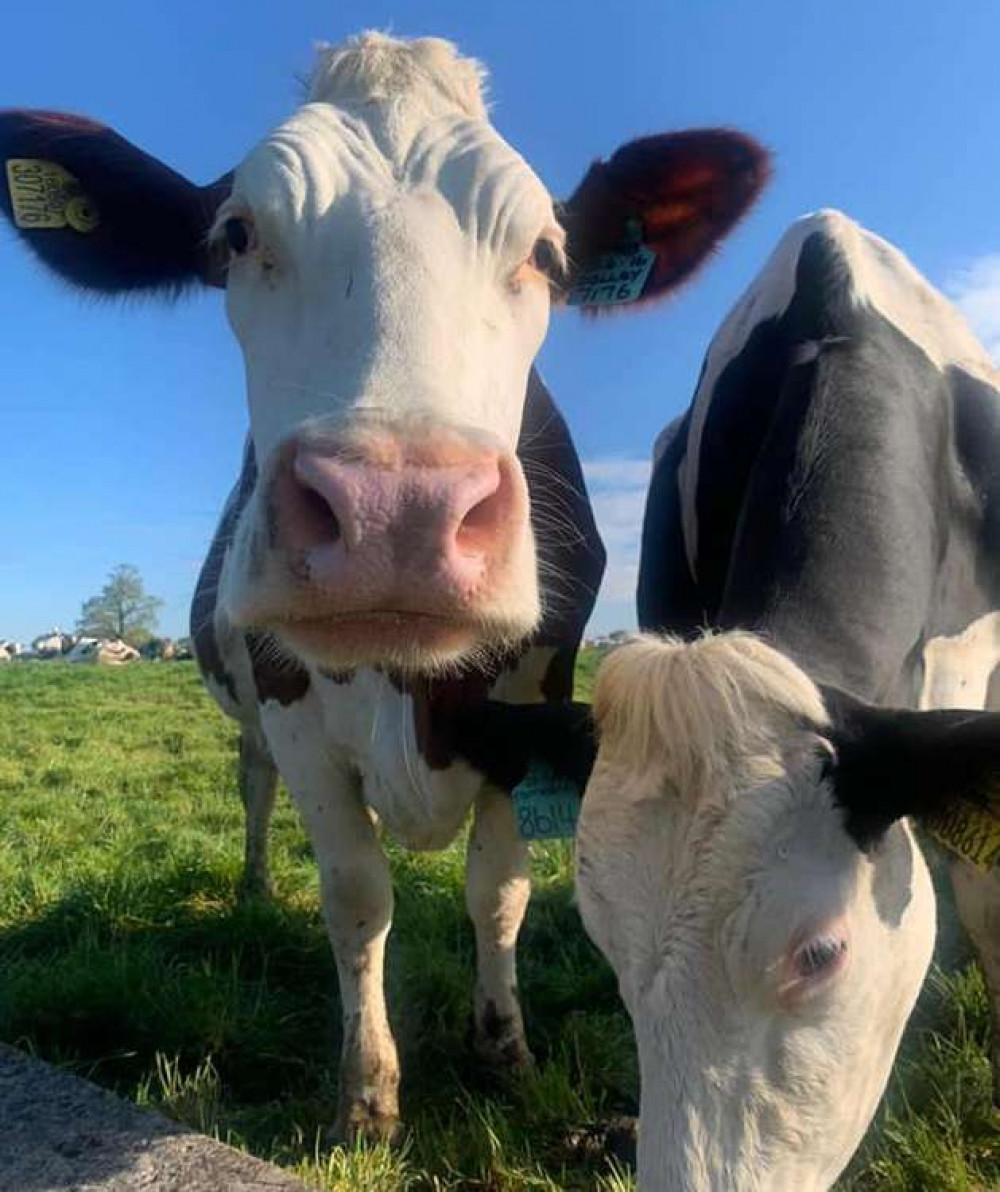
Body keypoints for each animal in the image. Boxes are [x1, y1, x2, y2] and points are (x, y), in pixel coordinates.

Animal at [0, 32, 772, 1139]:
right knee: (250, 781)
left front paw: (502, 1047)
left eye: (546, 254)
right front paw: (366, 1097)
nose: (393, 513)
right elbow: (358, 896)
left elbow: (500, 889)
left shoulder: (528, 712)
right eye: (236, 234)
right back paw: (251, 884)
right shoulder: (294, 711)